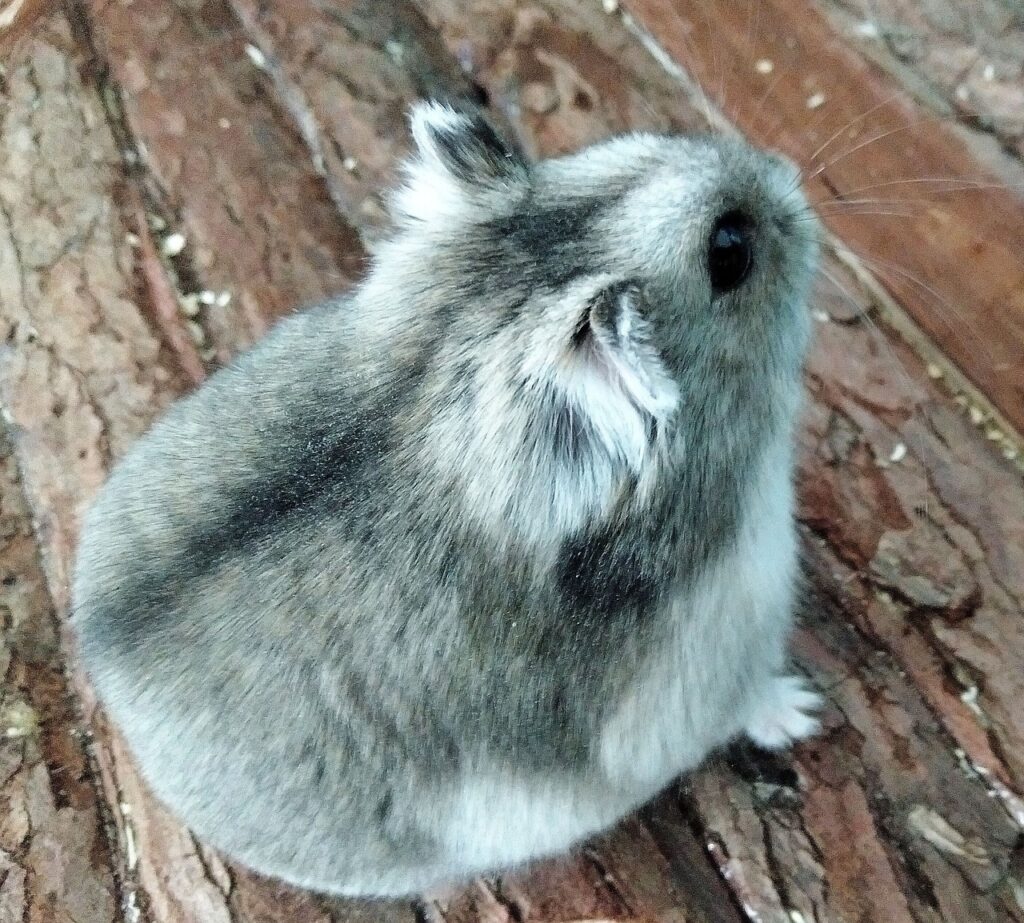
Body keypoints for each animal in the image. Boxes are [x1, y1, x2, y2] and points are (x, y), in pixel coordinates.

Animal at [72, 101, 822, 897]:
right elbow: (748, 702)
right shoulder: (715, 660)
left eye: (641, 142)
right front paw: (805, 710)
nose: (789, 174)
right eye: (729, 249)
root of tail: (105, 679)